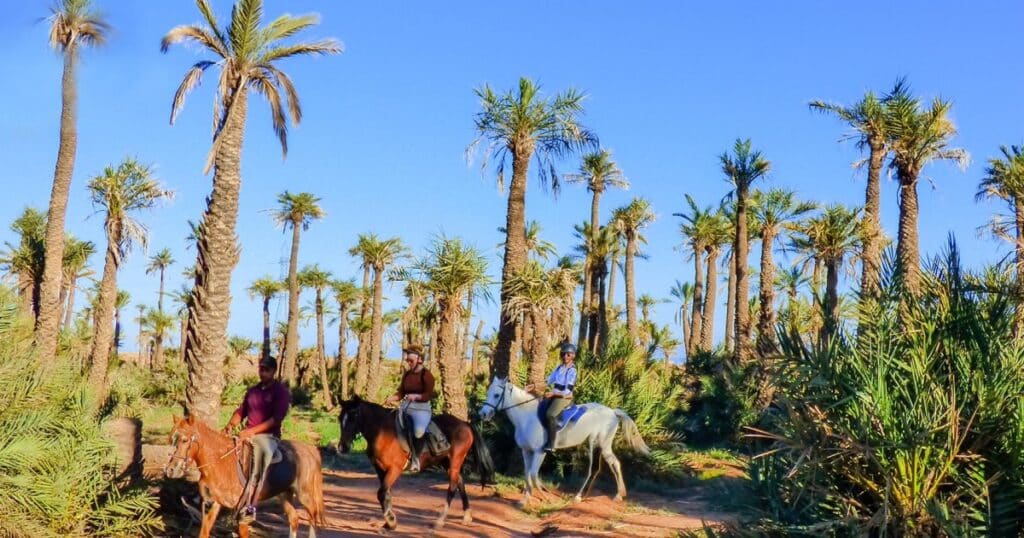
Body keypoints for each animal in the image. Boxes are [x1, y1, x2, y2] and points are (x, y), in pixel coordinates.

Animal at [163, 416, 325, 536]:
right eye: (171, 439)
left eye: (184, 440)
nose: (171, 470)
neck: (220, 463)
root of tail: (310, 450)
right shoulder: (212, 504)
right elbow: (204, 532)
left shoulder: (243, 511)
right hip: (284, 495)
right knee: (294, 519)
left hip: (304, 495)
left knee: (312, 517)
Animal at [335, 395, 495, 528]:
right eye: (340, 418)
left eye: (353, 417)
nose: (342, 447)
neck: (382, 432)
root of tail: (465, 424)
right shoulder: (380, 470)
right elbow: (386, 494)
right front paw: (388, 522)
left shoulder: (395, 469)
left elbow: (381, 493)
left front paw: (390, 521)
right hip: (447, 462)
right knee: (460, 483)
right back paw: (467, 516)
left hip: (455, 461)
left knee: (453, 487)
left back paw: (440, 521)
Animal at [477, 375, 647, 506]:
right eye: (488, 393)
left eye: (496, 395)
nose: (483, 414)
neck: (526, 418)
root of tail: (612, 412)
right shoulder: (526, 451)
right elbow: (527, 474)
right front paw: (525, 500)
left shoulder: (540, 452)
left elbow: (533, 475)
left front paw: (546, 498)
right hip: (602, 446)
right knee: (614, 463)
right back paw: (619, 495)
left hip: (597, 443)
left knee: (594, 469)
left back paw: (579, 496)